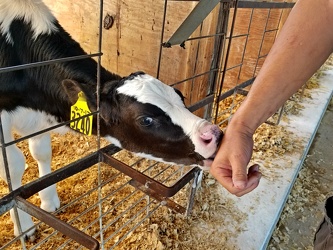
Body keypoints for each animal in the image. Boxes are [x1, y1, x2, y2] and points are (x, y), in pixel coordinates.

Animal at [0, 0, 223, 238]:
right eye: (145, 120)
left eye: (180, 95)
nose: (214, 134)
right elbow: (13, 166)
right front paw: (24, 226)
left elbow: (41, 152)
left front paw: (49, 201)